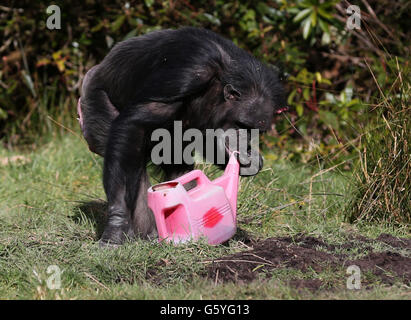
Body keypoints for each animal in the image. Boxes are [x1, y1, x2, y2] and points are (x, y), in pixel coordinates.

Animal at [79, 28, 288, 248]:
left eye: (256, 130)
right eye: (242, 125)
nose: (246, 142)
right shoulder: (188, 73)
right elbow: (133, 125)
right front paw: (117, 224)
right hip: (94, 103)